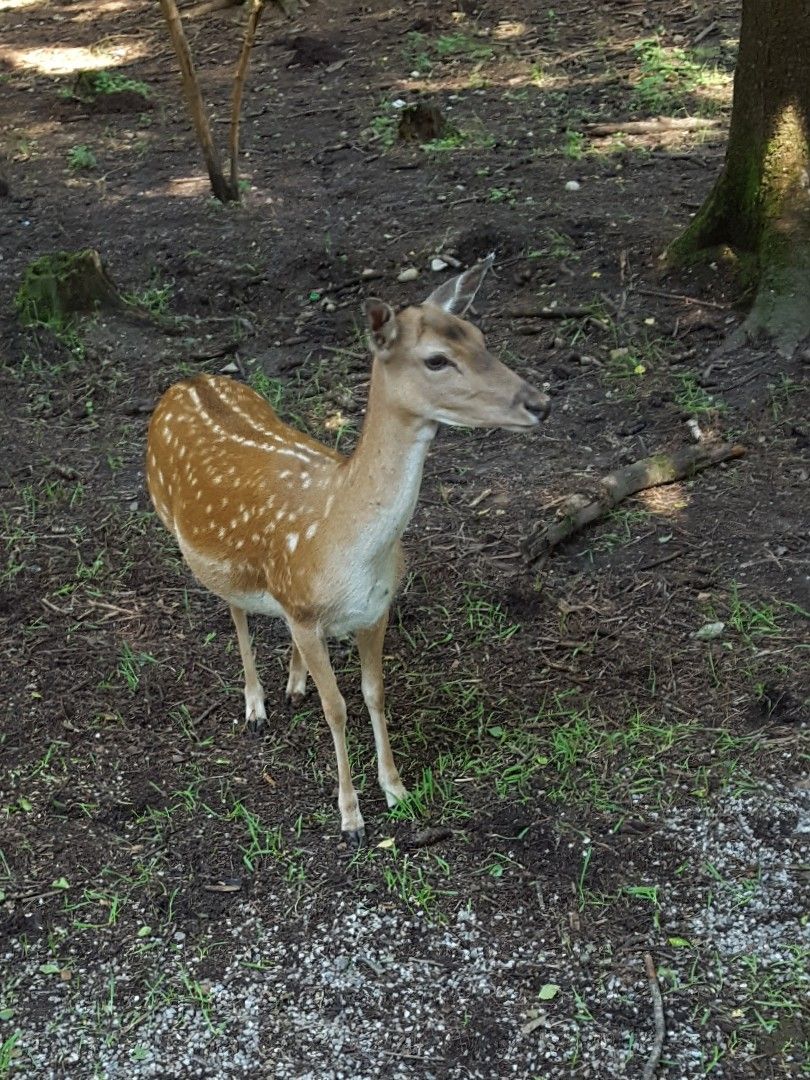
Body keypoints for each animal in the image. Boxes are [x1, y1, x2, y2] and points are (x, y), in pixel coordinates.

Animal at [145, 259, 552, 842]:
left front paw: (397, 789)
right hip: (182, 532)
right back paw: (255, 704)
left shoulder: (374, 609)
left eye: (480, 337)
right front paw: (351, 815)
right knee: (234, 608)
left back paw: (291, 684)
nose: (540, 403)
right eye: (436, 358)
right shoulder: (305, 611)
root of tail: (187, 379)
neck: (342, 542)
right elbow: (335, 706)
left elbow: (373, 693)